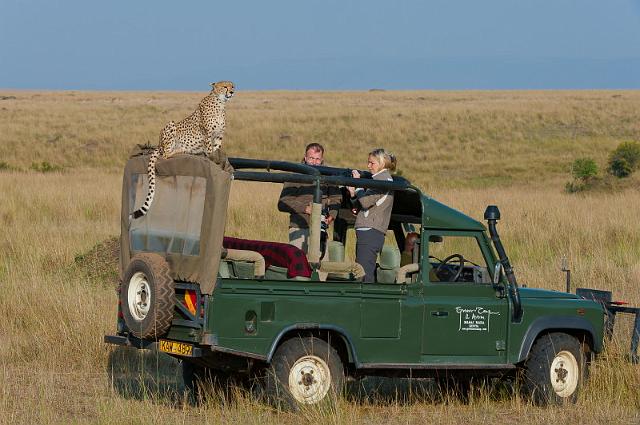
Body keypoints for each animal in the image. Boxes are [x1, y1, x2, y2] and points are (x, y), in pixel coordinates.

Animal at [131, 80, 234, 219]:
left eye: (233, 86)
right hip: (171, 125)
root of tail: (158, 144)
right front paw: (211, 157)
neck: (220, 103)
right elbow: (209, 150)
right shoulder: (208, 134)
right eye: (224, 86)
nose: (232, 92)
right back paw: (179, 152)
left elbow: (216, 150)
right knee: (165, 154)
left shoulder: (218, 136)